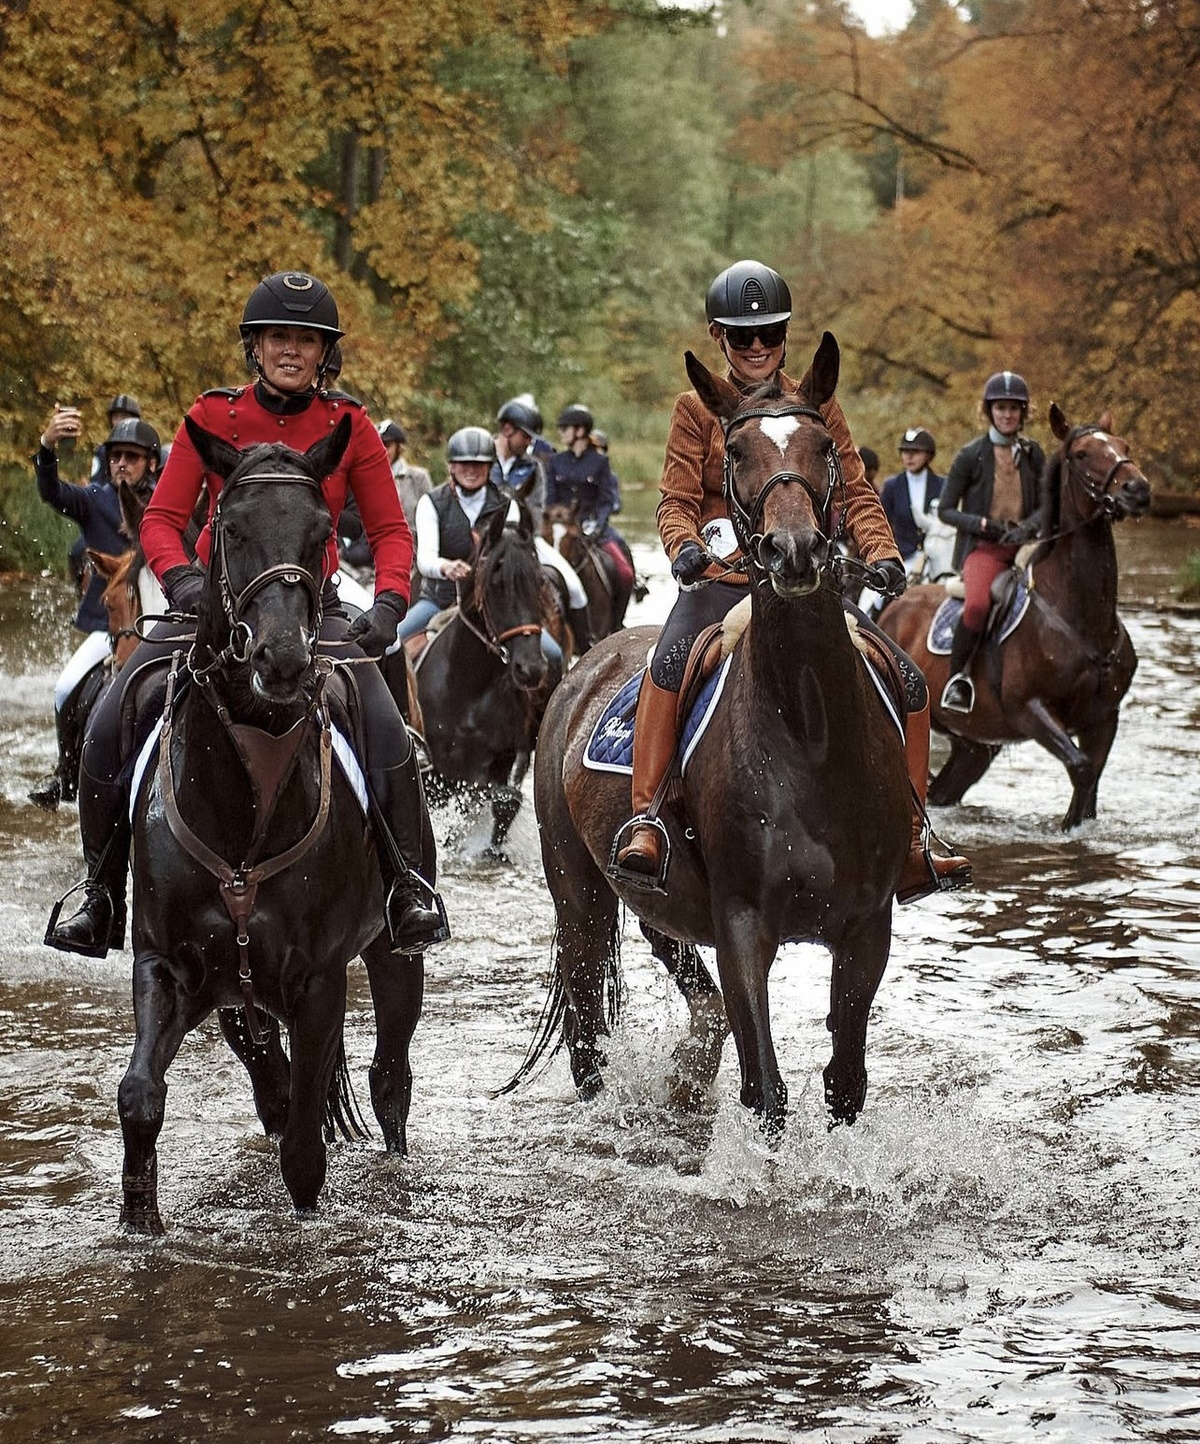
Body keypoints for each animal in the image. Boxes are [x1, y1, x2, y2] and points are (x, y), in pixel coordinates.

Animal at [116, 415, 418, 1230]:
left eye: (322, 532)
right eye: (231, 527)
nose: (281, 659)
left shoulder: (318, 981)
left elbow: (307, 1154)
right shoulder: (167, 967)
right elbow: (139, 1096)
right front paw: (138, 1223)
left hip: (393, 954)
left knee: (390, 1077)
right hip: (238, 996)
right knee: (269, 1071)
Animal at [412, 493, 563, 854]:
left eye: (539, 580)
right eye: (496, 583)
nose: (530, 668)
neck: (468, 688)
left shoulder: (501, 763)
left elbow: (505, 801)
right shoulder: (442, 777)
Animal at [522, 340, 912, 1137]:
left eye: (825, 446)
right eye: (737, 451)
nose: (794, 551)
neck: (809, 733)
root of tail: (580, 674)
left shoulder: (866, 926)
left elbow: (845, 1082)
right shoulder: (742, 924)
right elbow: (766, 1090)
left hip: (658, 902)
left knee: (683, 981)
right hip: (579, 892)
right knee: (586, 1024)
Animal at [883, 407, 1155, 837]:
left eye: (1123, 445)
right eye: (1081, 454)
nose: (1137, 489)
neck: (1080, 620)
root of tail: (893, 608)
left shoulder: (1103, 718)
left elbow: (1091, 781)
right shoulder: (1029, 710)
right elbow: (1081, 770)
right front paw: (1066, 830)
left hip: (974, 742)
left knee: (946, 787)